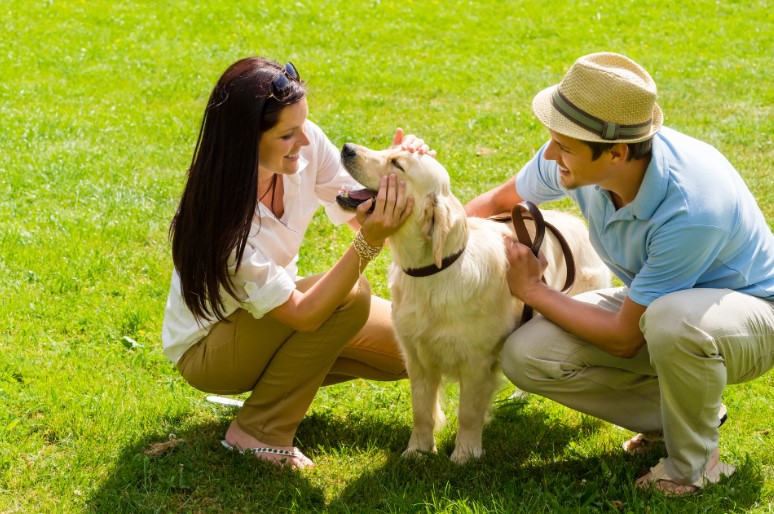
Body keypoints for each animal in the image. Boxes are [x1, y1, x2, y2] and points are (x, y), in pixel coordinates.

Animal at [336, 142, 608, 462]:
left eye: (397, 163)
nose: (347, 148)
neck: (434, 272)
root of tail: (576, 221)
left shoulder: (476, 362)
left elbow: (467, 412)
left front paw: (465, 454)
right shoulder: (416, 358)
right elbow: (421, 411)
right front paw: (417, 451)